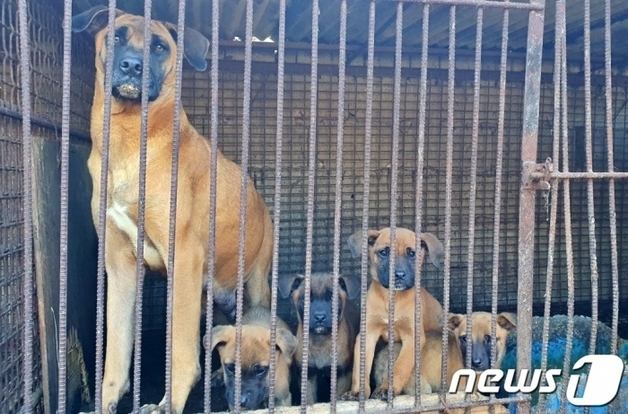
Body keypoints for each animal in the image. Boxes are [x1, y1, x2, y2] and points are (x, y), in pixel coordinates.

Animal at [72, 6, 272, 414]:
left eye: (160, 47)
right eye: (116, 37)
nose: (132, 66)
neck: (131, 140)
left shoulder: (183, 258)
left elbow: (180, 349)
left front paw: (169, 402)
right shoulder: (120, 266)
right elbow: (116, 348)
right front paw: (107, 398)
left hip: (254, 280)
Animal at [278, 272, 360, 404]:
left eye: (332, 298)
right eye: (305, 298)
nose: (320, 317)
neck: (320, 341)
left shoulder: (343, 374)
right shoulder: (307, 375)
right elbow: (309, 400)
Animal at [340, 228, 444, 400]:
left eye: (412, 253)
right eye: (384, 252)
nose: (399, 275)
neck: (392, 298)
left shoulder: (412, 337)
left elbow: (400, 366)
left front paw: (386, 389)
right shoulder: (367, 334)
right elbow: (360, 368)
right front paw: (357, 392)